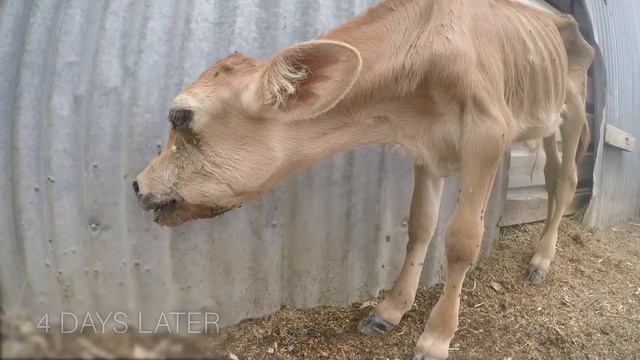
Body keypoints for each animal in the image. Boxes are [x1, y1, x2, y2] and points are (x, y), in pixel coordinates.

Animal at [134, 0, 596, 358]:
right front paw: (391, 310)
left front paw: (436, 337)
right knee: (551, 174)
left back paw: (541, 260)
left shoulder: (488, 135)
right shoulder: (429, 147)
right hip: (545, 117)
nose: (138, 184)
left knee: (568, 179)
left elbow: (462, 240)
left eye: (180, 116)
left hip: (574, 105)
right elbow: (420, 226)